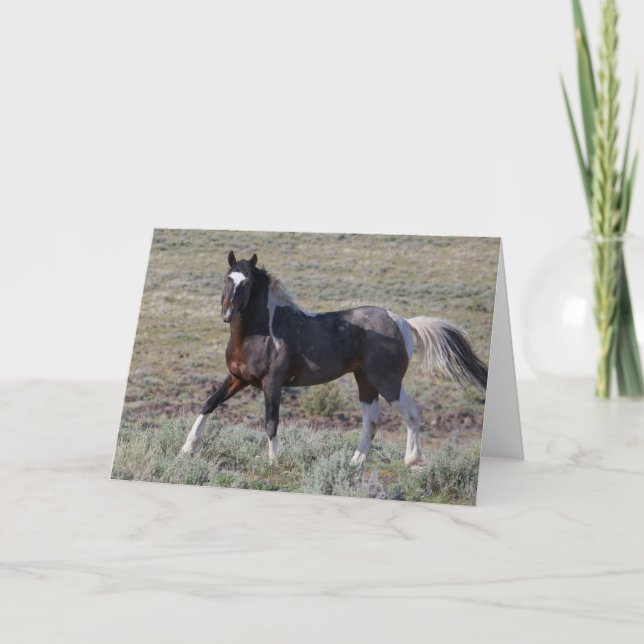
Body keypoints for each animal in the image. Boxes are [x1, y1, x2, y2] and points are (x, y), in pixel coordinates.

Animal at [180, 251, 488, 467]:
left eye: (247, 283)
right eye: (227, 279)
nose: (227, 314)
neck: (259, 334)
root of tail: (402, 321)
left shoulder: (272, 383)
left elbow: (271, 422)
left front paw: (274, 461)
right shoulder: (237, 378)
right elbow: (208, 404)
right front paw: (187, 449)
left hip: (386, 380)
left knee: (411, 413)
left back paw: (412, 461)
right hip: (365, 381)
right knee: (371, 422)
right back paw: (354, 463)